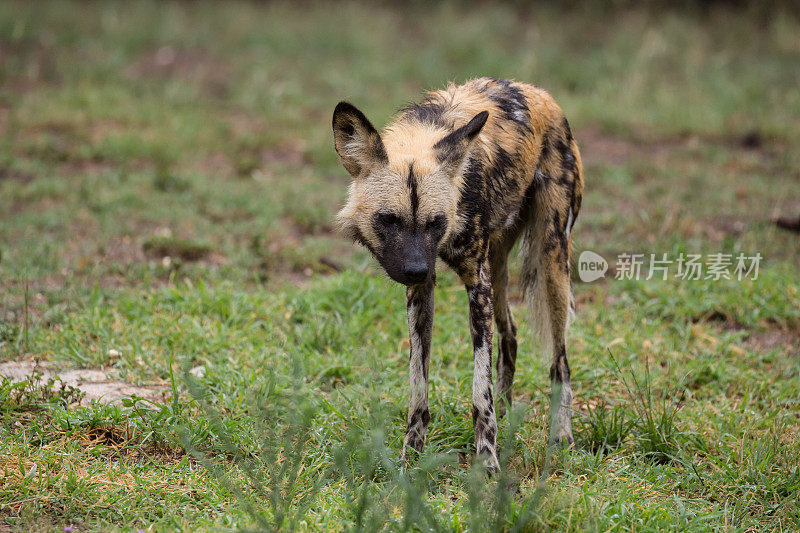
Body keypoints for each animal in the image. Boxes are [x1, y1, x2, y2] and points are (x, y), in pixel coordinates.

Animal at [330, 76, 580, 470]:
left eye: (436, 222)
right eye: (389, 220)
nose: (416, 269)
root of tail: (541, 94)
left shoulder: (476, 286)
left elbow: (480, 395)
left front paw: (488, 463)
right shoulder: (422, 294)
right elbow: (418, 388)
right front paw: (410, 457)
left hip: (552, 261)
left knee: (560, 363)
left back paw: (562, 436)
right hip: (499, 265)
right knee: (510, 334)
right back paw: (508, 412)